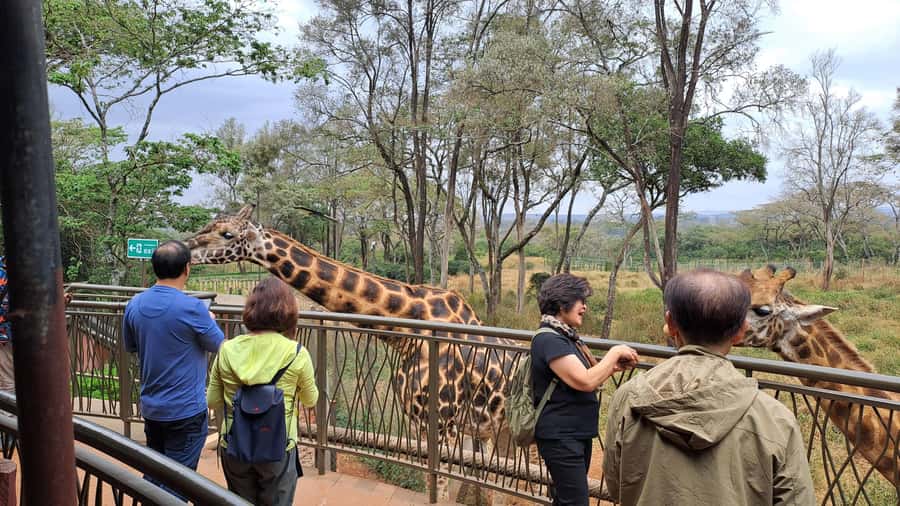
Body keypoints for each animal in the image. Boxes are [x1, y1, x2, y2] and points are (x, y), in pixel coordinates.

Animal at [185, 205, 523, 499]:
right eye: (210, 224)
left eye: (227, 234)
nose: (186, 248)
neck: (407, 328)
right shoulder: (425, 423)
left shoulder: (442, 424)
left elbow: (439, 488)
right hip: (495, 428)